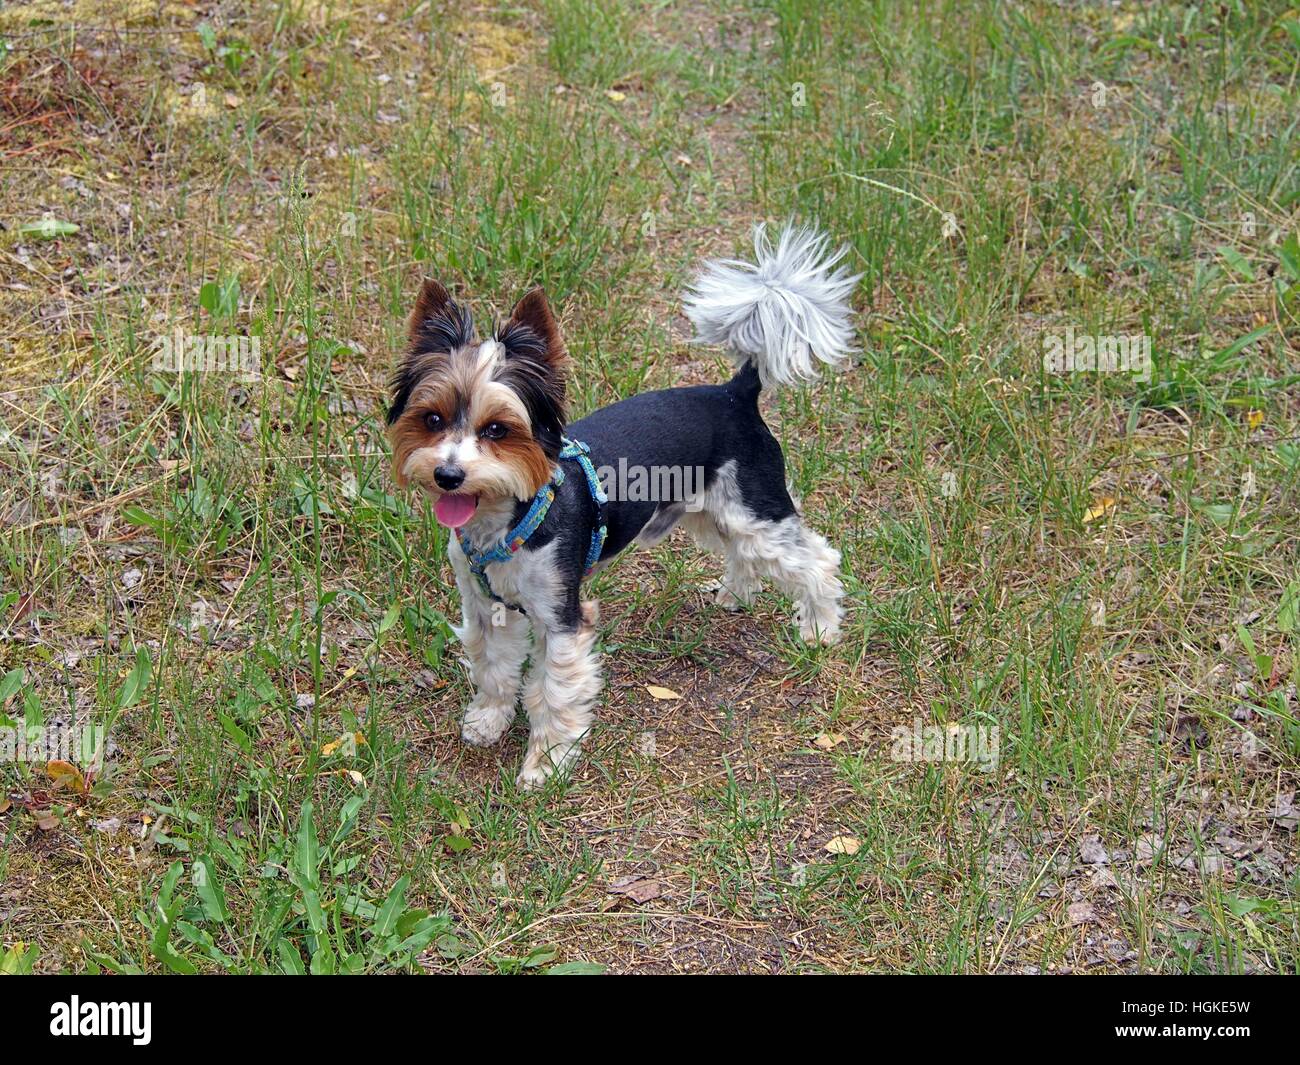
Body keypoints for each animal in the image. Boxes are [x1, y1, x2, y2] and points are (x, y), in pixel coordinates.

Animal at [379, 222, 857, 790]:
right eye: (431, 419)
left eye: (497, 429)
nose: (448, 475)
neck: (511, 519)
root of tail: (735, 393)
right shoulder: (485, 607)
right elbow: (493, 668)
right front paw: (488, 721)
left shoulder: (562, 618)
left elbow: (553, 692)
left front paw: (546, 764)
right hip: (712, 513)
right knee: (744, 553)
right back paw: (735, 595)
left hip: (756, 511)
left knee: (817, 560)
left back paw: (820, 629)